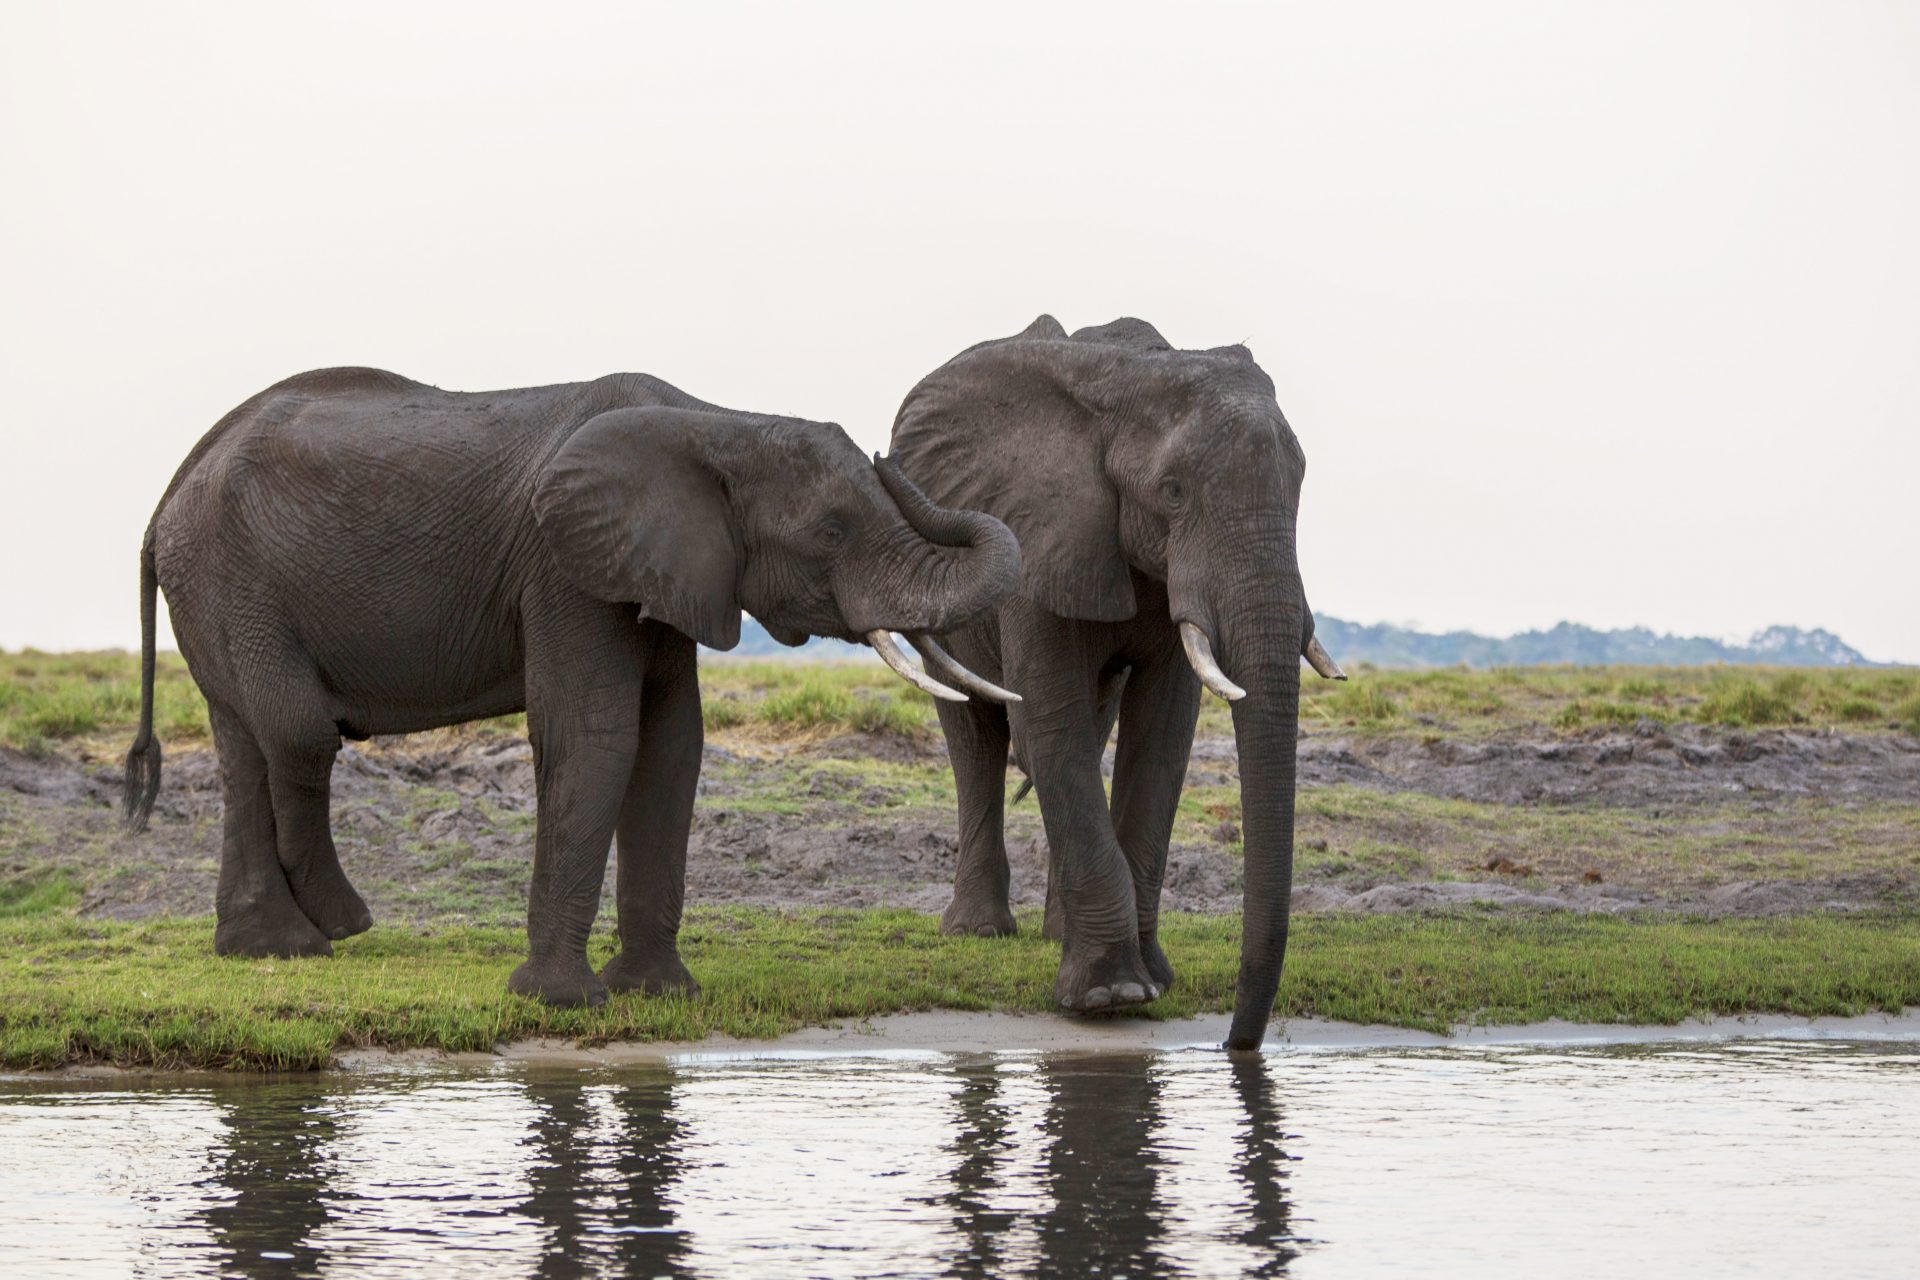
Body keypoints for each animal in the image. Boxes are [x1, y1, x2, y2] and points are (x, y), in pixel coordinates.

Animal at [121, 364, 1029, 1005]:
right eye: (832, 532)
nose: (887, 453)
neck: (715, 420)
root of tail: (167, 495)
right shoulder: (564, 570)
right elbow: (595, 735)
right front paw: (560, 1002)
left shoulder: (660, 574)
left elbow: (672, 745)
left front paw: (659, 995)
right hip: (232, 581)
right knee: (297, 733)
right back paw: (340, 926)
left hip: (217, 587)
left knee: (246, 746)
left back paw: (273, 949)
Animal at [890, 318, 1344, 1051]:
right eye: (1173, 491)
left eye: (1300, 483)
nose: (1234, 1045)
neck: (1130, 384)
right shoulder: (1039, 528)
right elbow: (1051, 721)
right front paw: (1110, 996)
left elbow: (1161, 736)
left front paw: (1151, 980)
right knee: (978, 734)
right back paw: (979, 931)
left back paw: (1054, 933)